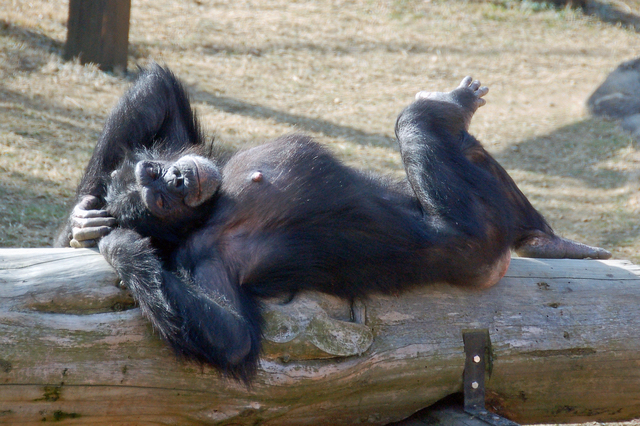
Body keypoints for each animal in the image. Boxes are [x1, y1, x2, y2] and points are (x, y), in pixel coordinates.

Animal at [55, 65, 608, 382]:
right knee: (416, 130)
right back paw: (441, 110)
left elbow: (157, 94)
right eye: (159, 200)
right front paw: (119, 245)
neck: (214, 206)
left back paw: (549, 237)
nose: (174, 177)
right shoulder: (204, 256)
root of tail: (498, 260)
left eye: (154, 178)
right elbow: (231, 336)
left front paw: (87, 224)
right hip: (475, 225)